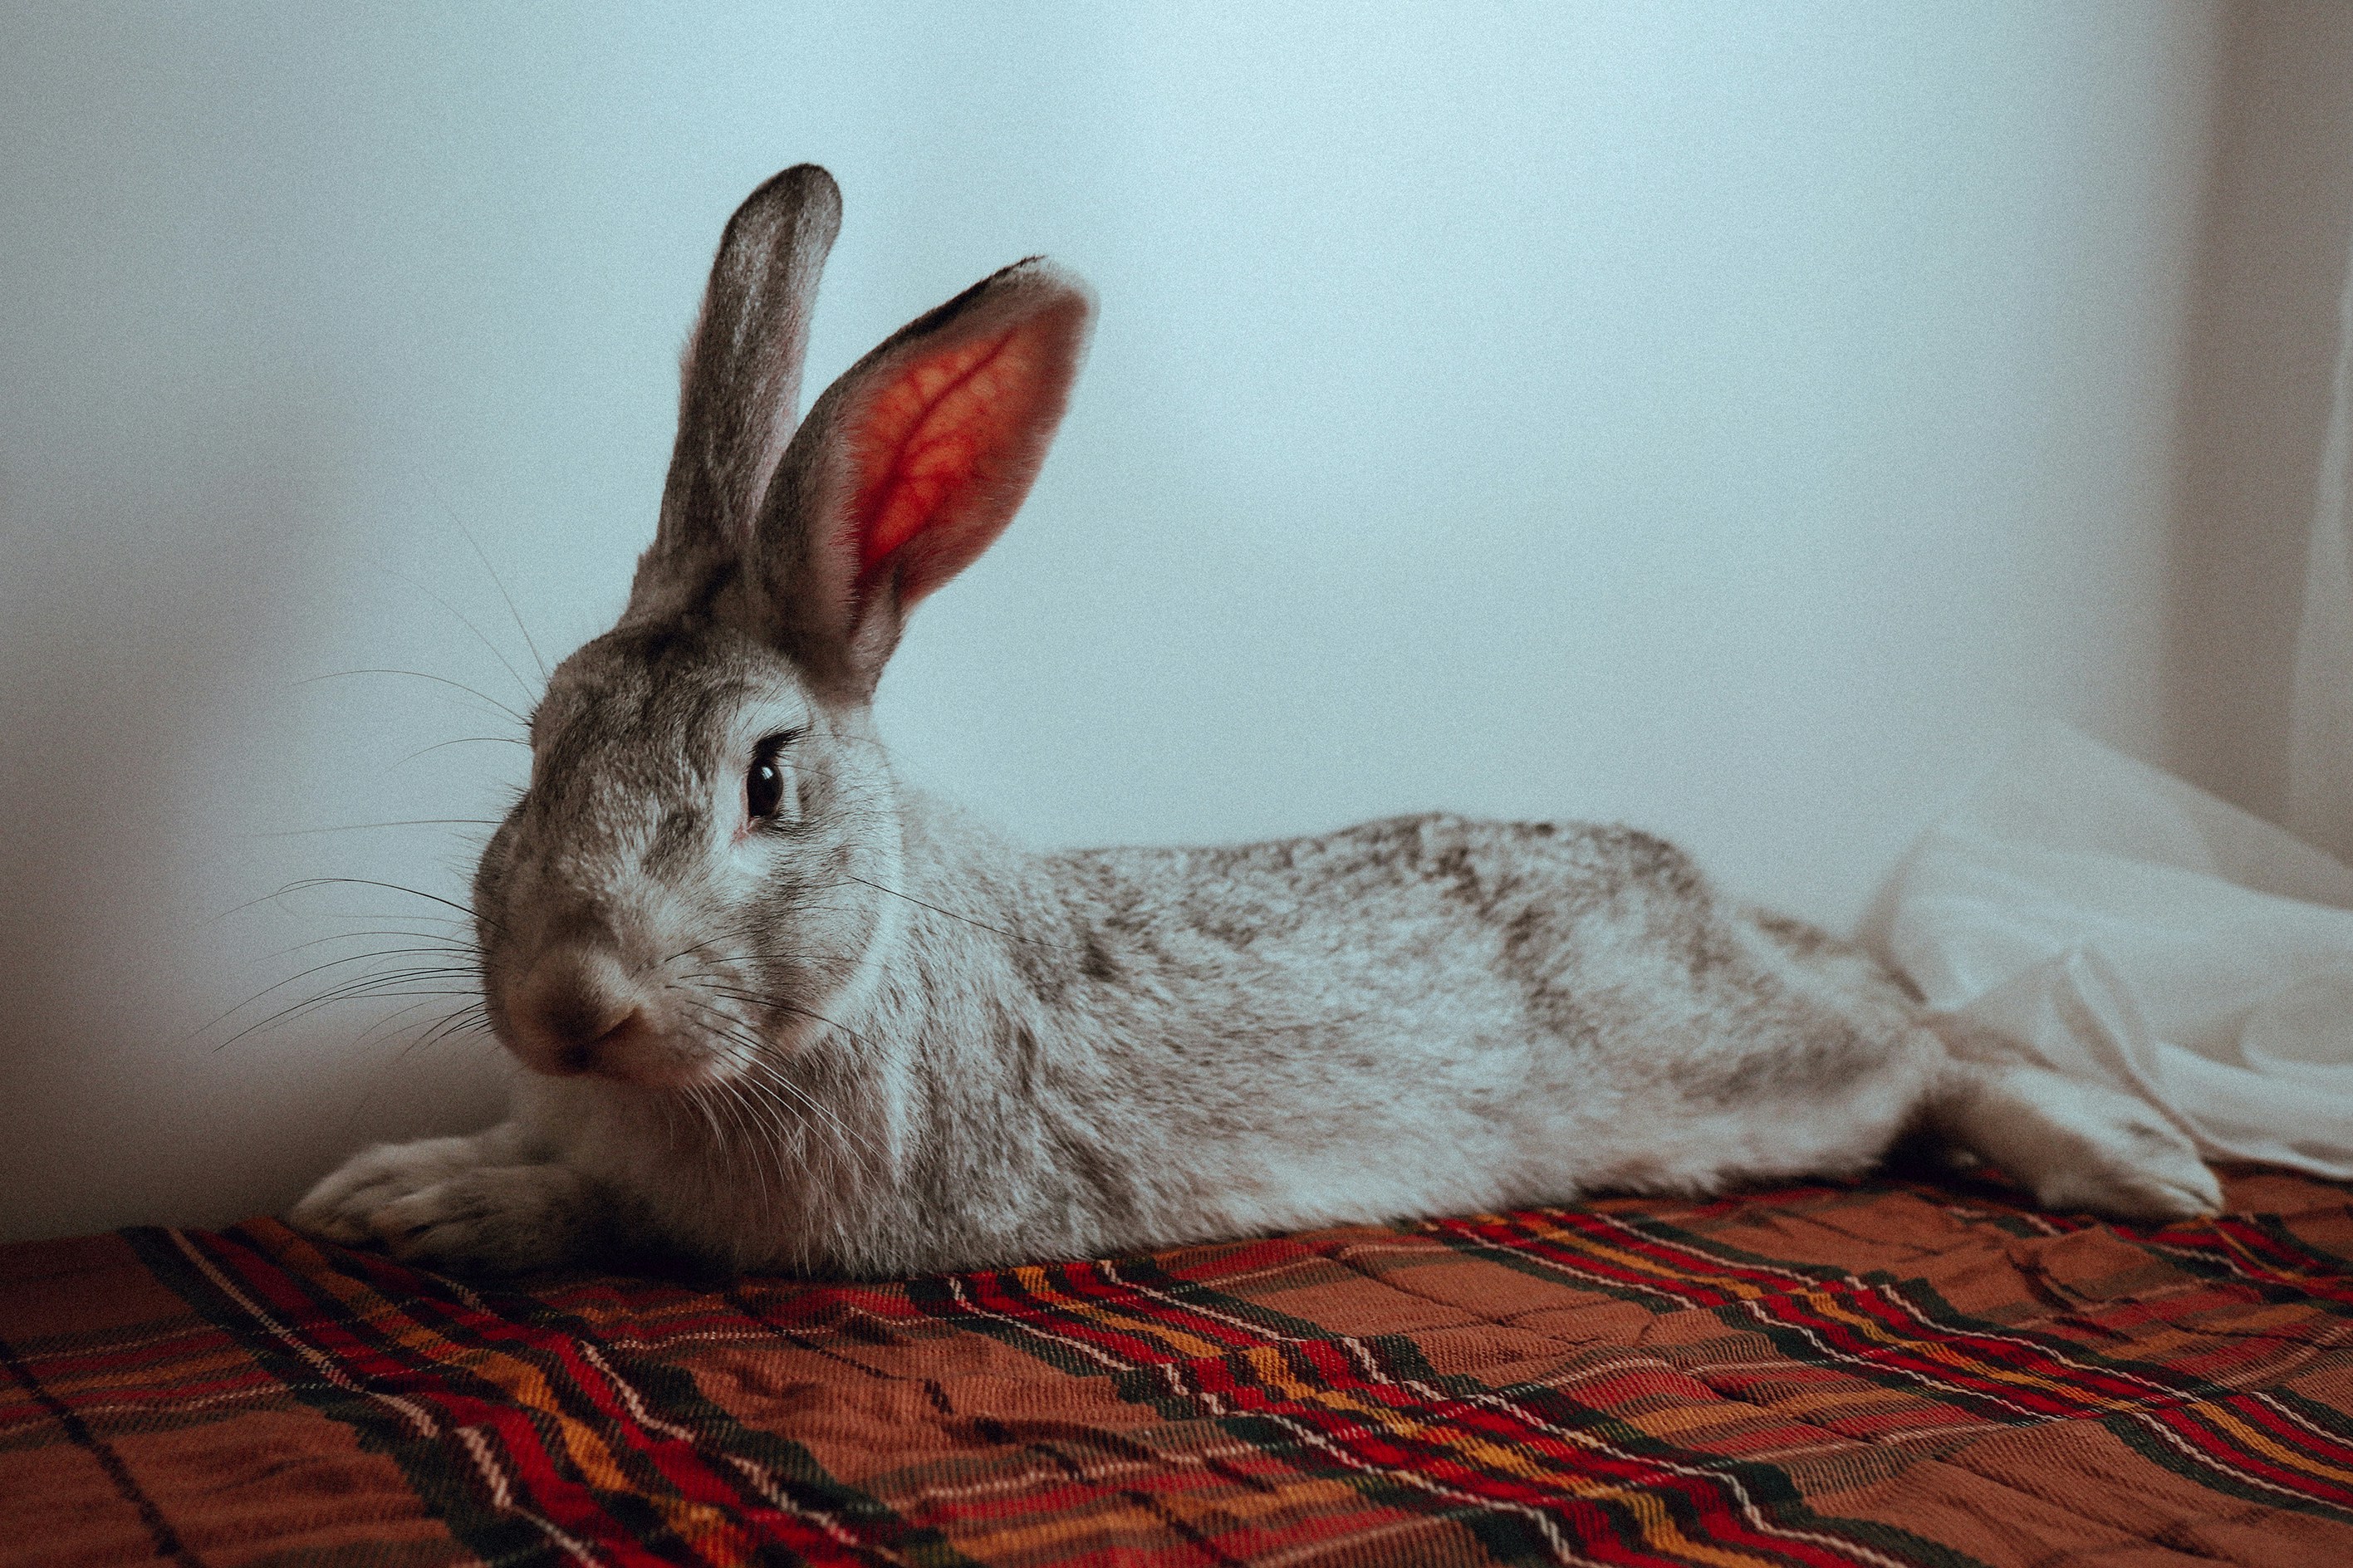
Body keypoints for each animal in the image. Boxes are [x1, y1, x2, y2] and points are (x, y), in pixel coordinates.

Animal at [290, 165, 2222, 1278]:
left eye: (770, 777)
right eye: (542, 732)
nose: (568, 999)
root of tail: (1710, 897)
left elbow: (606, 1212)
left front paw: (425, 1206)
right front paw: (384, 1178)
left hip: (1762, 1073)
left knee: (1925, 1042)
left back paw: (2138, 1164)